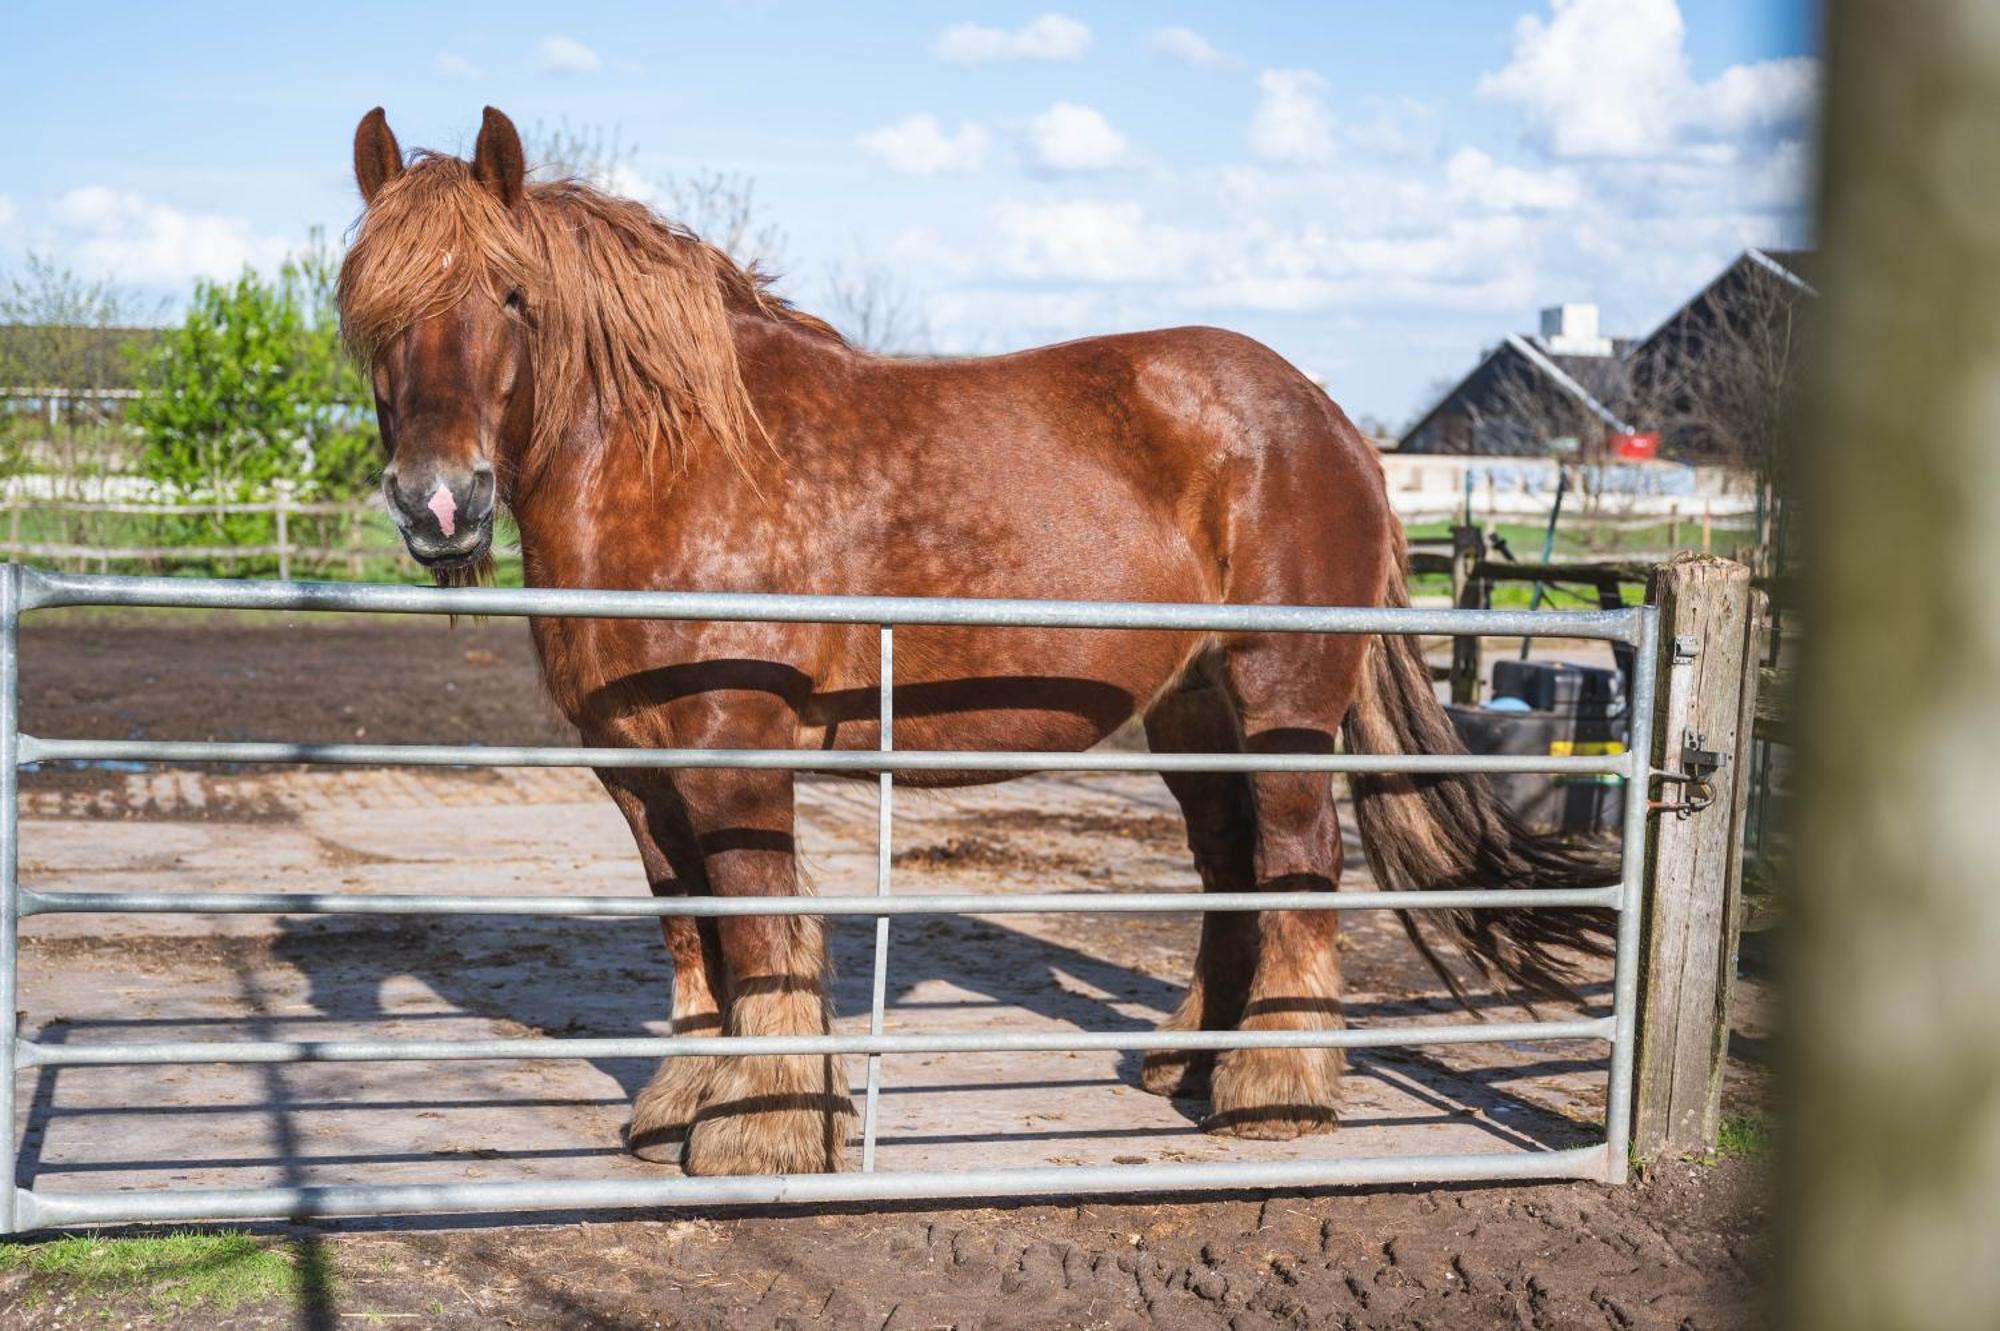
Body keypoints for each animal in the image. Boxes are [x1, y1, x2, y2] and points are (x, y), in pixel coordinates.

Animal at [332, 108, 1608, 1175]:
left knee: (1300, 863)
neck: (680, 457)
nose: (439, 503)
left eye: (509, 293)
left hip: (1282, 697)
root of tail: (1330, 419)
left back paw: (1273, 1092)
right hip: (1193, 709)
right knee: (1229, 867)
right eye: (365, 307)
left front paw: (761, 1130)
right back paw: (1187, 1061)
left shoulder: (732, 748)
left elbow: (757, 924)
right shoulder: (634, 762)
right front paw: (683, 1104)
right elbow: (691, 930)